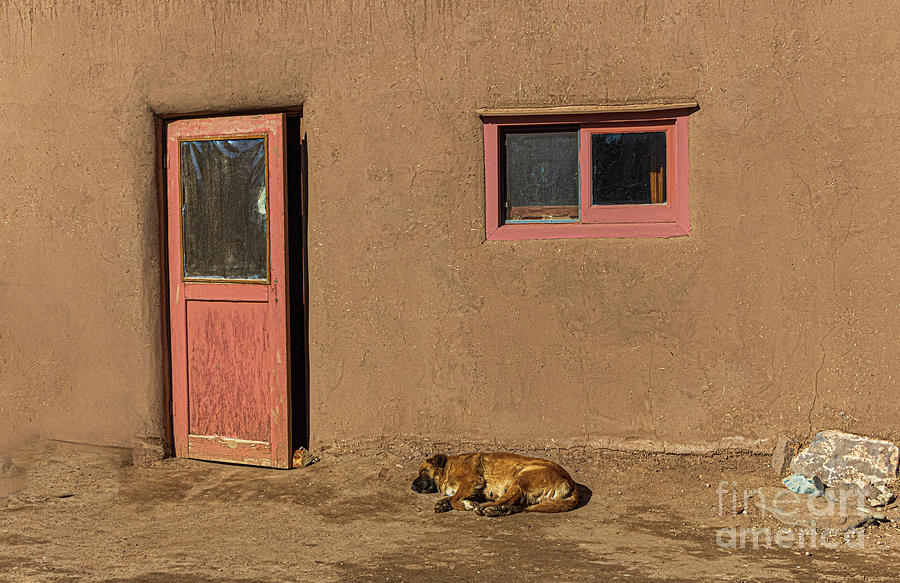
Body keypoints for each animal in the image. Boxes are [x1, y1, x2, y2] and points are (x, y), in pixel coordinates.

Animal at [412, 452, 580, 516]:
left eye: (423, 471)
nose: (412, 487)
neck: (448, 468)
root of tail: (571, 480)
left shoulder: (471, 480)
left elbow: (455, 499)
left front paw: (466, 505)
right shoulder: (478, 491)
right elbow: (453, 497)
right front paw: (443, 503)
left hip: (520, 478)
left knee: (505, 500)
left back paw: (486, 508)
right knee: (513, 506)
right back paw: (496, 510)